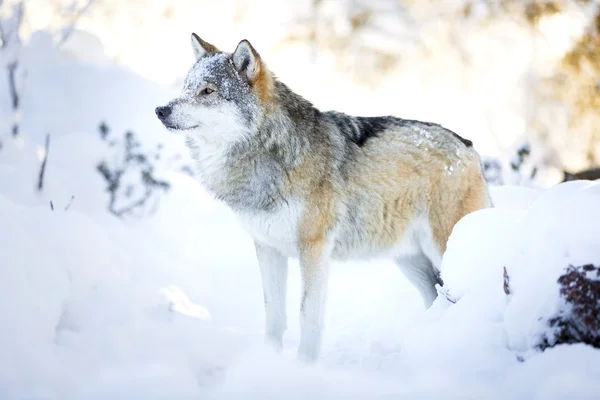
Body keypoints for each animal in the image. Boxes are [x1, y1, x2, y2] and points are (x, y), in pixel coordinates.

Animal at [155, 32, 492, 360]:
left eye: (207, 91)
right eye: (186, 87)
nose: (160, 110)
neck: (269, 153)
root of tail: (469, 146)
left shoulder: (314, 249)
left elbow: (308, 315)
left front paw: (305, 364)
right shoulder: (267, 248)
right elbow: (273, 314)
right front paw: (268, 360)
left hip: (443, 250)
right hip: (410, 261)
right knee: (436, 299)